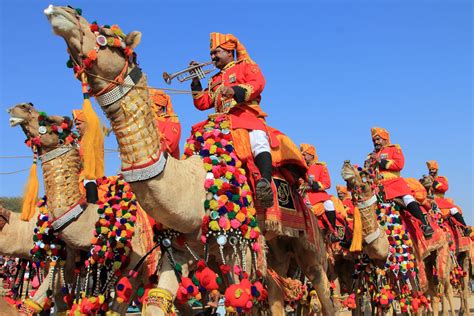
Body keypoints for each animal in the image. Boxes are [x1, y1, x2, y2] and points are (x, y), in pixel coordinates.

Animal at [43, 6, 334, 314]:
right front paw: (197, 76)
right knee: (277, 291)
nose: (62, 11)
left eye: (105, 35)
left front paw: (229, 90)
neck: (197, 183)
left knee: (324, 291)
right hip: (276, 247)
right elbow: (157, 299)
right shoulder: (178, 249)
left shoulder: (236, 240)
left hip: (309, 246)